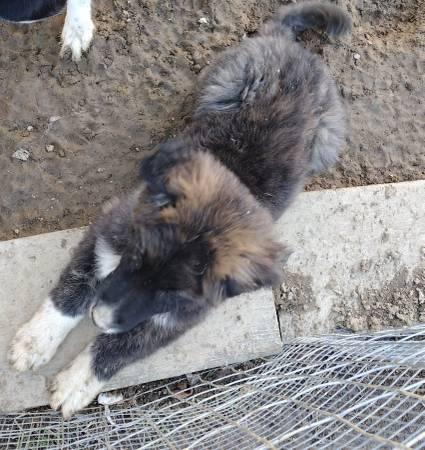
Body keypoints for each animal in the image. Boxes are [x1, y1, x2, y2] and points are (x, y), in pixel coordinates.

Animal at [8, 2, 350, 418]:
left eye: (169, 295)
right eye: (135, 259)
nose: (99, 319)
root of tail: (294, 47)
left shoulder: (181, 316)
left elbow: (123, 345)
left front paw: (76, 381)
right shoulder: (104, 235)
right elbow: (70, 290)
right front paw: (34, 341)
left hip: (325, 143)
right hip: (226, 82)